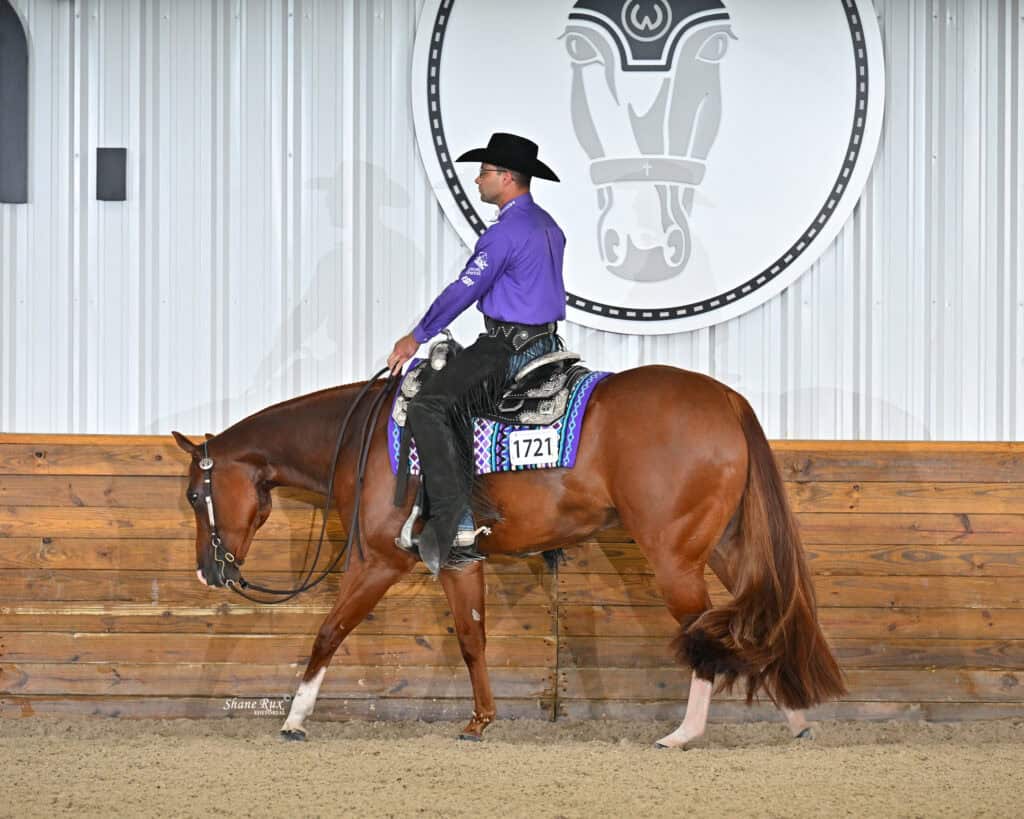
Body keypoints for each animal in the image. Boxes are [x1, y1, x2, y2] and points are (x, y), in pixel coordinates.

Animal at [172, 364, 845, 745]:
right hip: (724, 545)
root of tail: (727, 398)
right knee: (763, 617)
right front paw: (480, 721)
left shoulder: (377, 561)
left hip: (674, 556)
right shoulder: (460, 561)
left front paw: (295, 718)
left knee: (706, 631)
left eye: (194, 494)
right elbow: (472, 639)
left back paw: (685, 733)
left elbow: (328, 633)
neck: (363, 438)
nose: (208, 572)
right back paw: (795, 718)